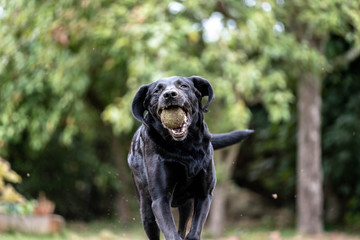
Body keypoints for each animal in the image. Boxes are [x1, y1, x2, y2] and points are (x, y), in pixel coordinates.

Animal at [128, 76, 252, 239]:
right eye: (157, 90)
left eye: (183, 86)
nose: (169, 94)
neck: (185, 147)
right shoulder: (160, 200)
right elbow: (171, 233)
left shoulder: (204, 194)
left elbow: (194, 231)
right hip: (146, 209)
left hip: (186, 204)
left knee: (182, 226)